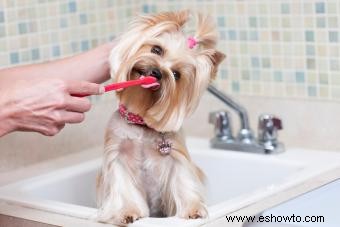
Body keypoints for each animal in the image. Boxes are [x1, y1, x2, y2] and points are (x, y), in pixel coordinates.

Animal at [95, 10, 224, 225]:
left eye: (176, 74)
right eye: (157, 49)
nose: (156, 72)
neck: (140, 122)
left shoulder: (177, 157)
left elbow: (183, 181)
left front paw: (193, 210)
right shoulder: (118, 156)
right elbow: (124, 189)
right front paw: (127, 212)